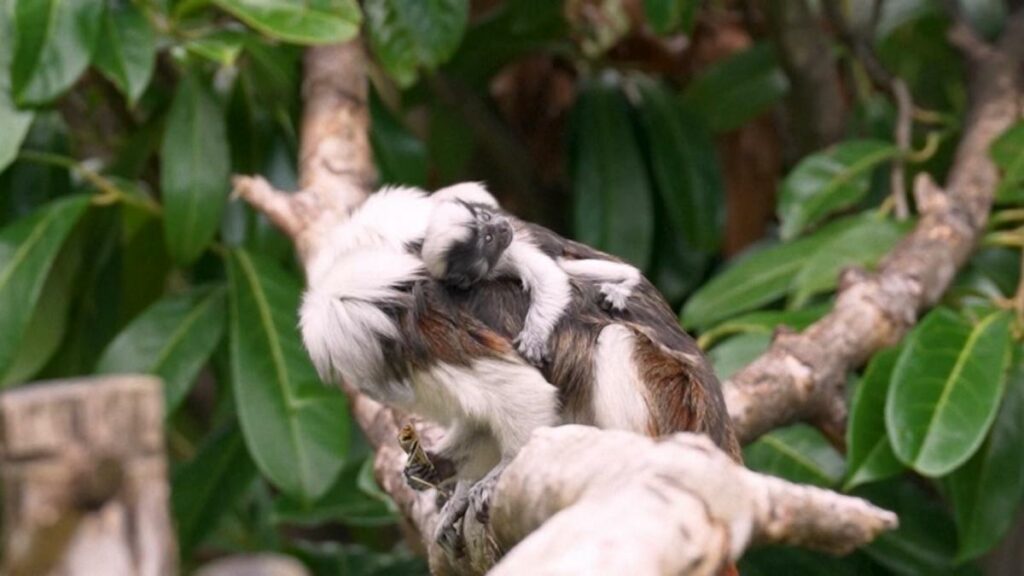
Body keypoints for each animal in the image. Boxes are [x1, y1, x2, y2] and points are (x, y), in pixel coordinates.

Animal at [419, 182, 634, 362]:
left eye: (487, 218)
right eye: (488, 238)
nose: (503, 226)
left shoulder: (510, 250)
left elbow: (549, 277)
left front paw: (535, 335)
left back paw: (627, 281)